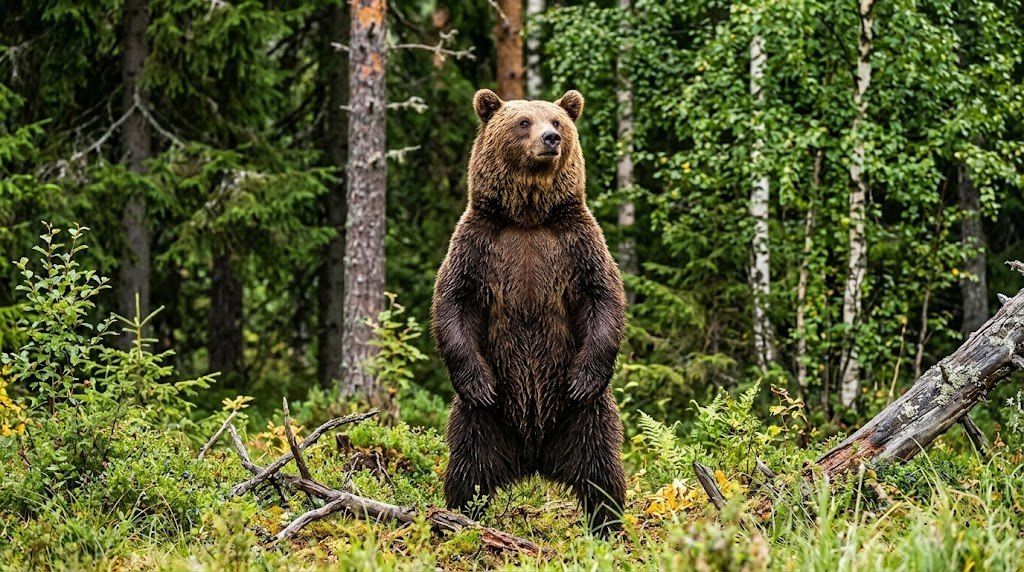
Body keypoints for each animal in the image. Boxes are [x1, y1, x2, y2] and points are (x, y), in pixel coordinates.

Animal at [431, 88, 627, 536]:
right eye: (523, 121)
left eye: (557, 121)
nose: (551, 139)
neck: (528, 217)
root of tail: (534, 456)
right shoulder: (478, 243)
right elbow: (453, 301)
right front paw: (478, 382)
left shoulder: (576, 241)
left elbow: (604, 295)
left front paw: (584, 378)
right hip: (482, 422)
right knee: (469, 467)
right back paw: (459, 520)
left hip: (585, 418)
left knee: (601, 468)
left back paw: (608, 525)